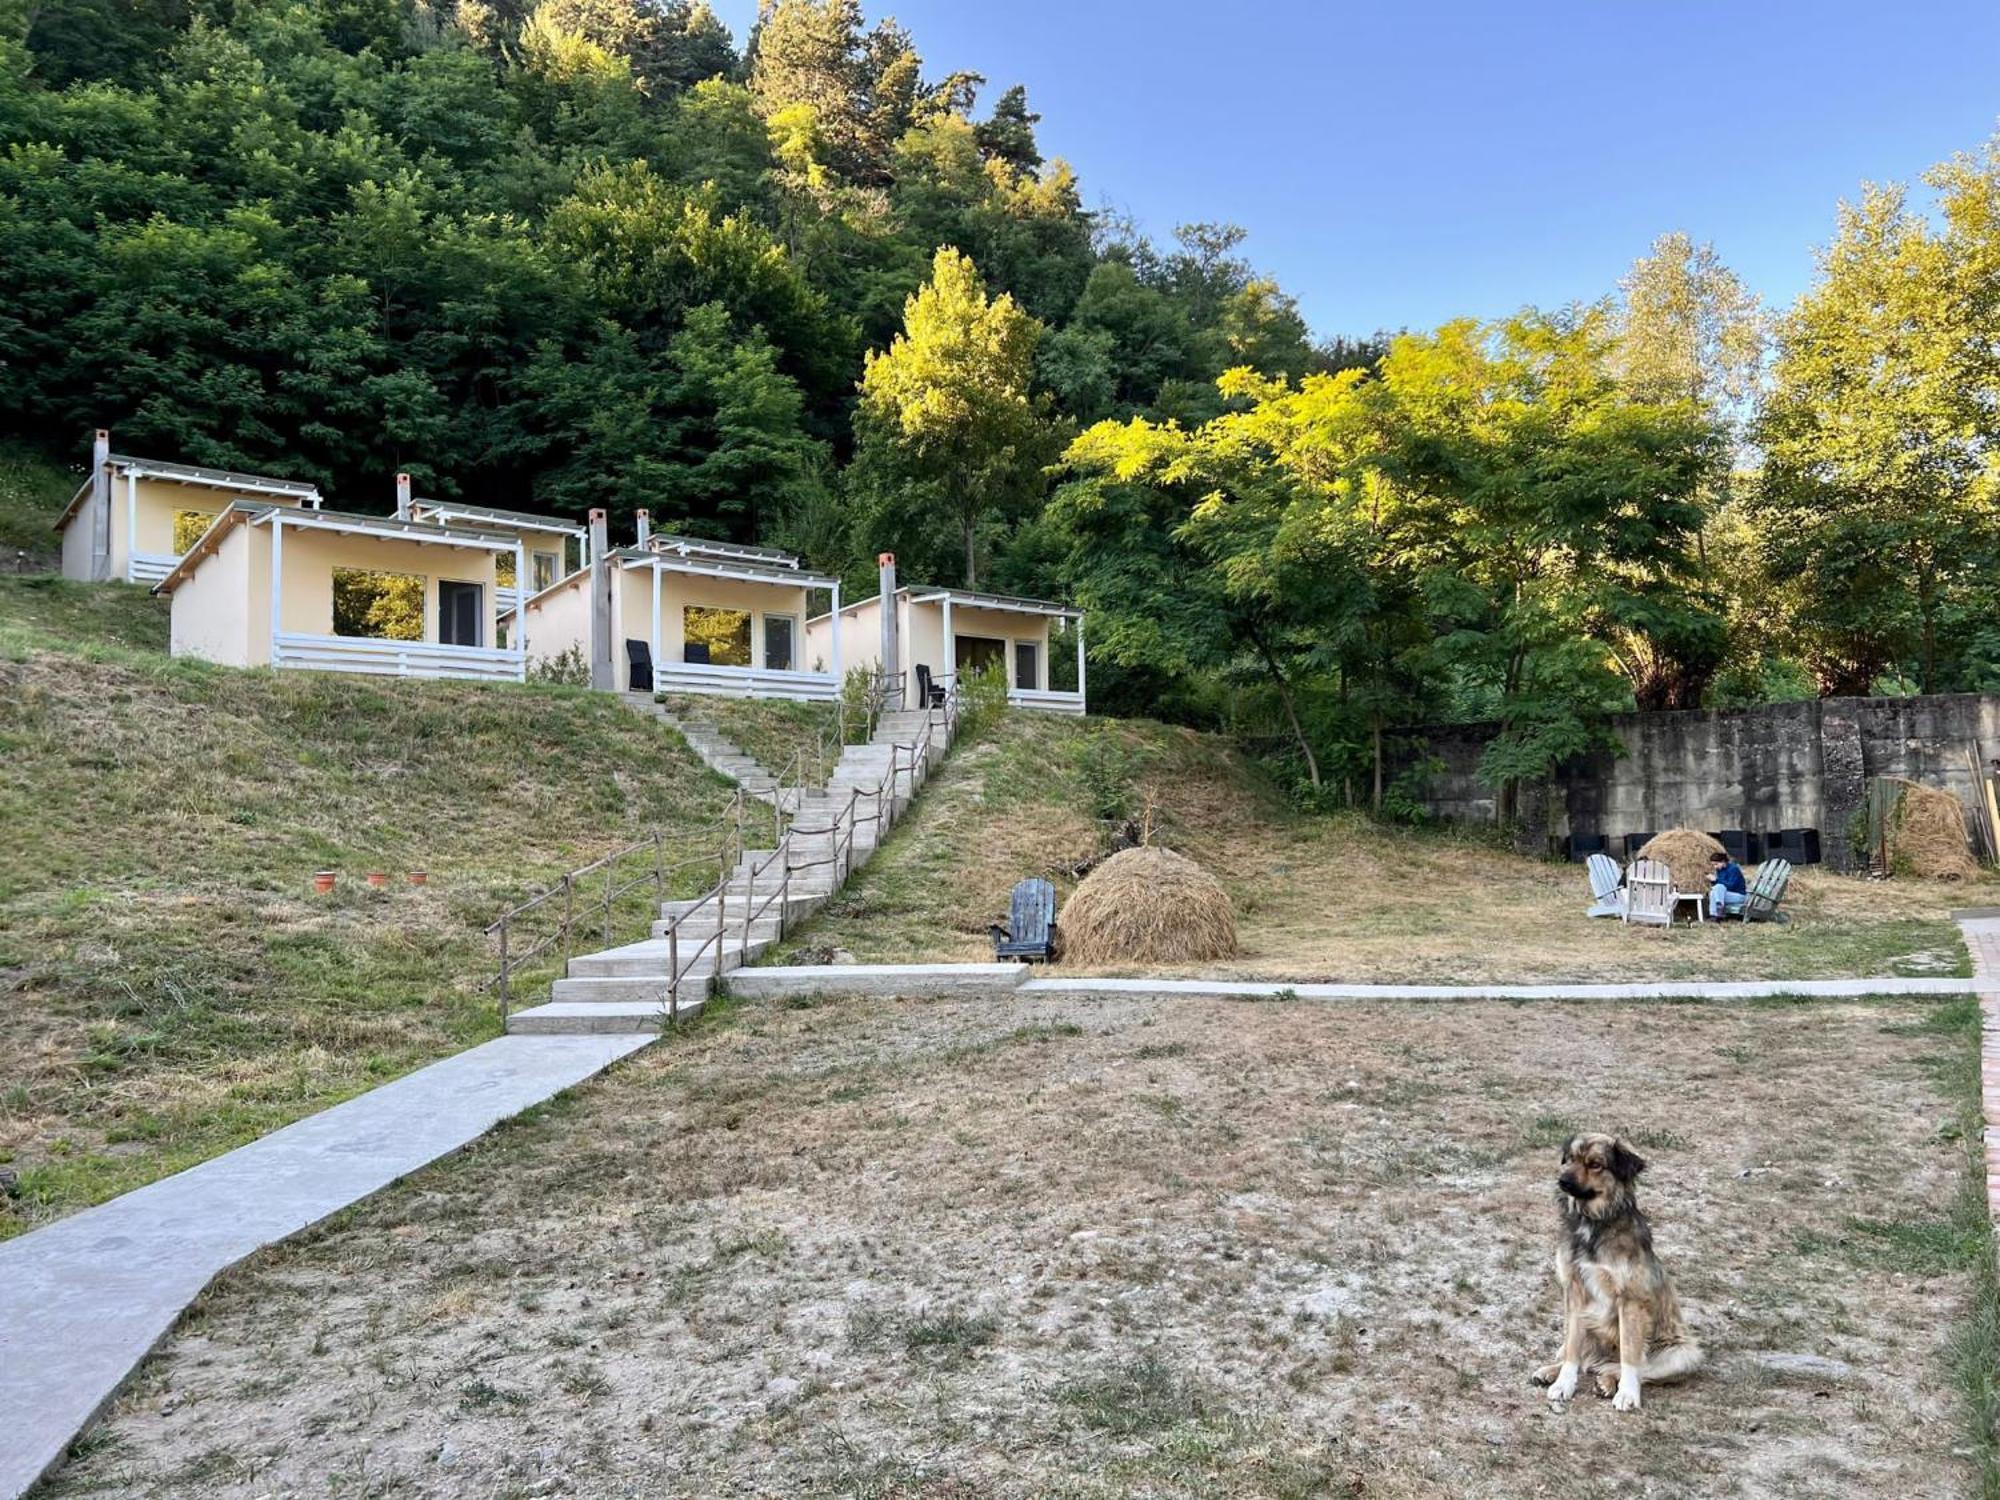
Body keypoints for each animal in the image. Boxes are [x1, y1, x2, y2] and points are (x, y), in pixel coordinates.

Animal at [1528, 1136, 1704, 1416]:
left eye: (1595, 1164)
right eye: (1571, 1159)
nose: (1562, 1181)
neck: (1594, 1224)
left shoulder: (1630, 1299)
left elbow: (1630, 1357)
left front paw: (1627, 1395)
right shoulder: (1574, 1291)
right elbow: (1572, 1349)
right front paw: (1563, 1383)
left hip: (1682, 1353)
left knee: (1628, 1368)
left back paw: (1608, 1382)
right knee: (1581, 1358)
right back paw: (1551, 1371)